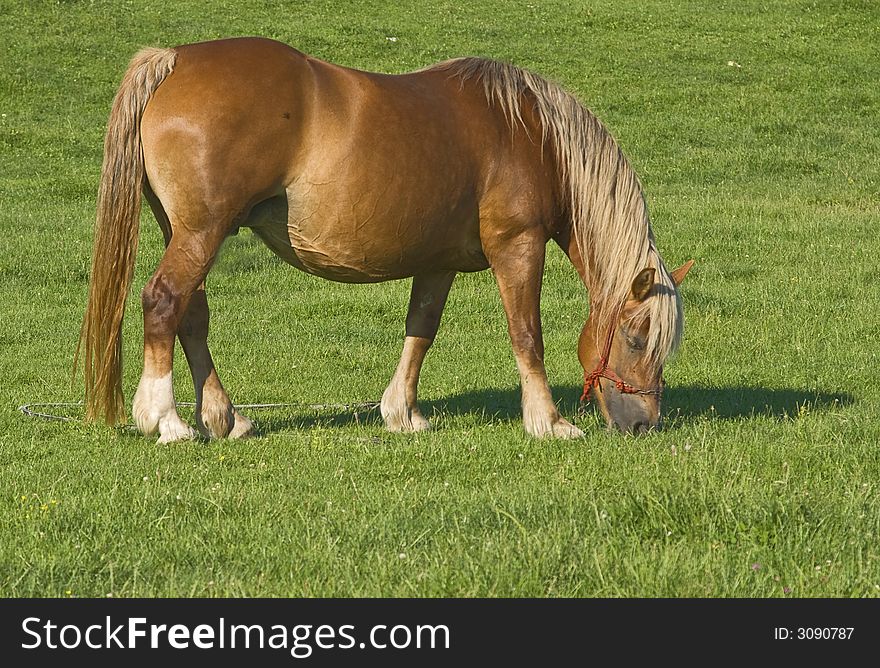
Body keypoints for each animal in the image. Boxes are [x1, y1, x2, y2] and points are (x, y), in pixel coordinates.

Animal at [77, 37, 696, 444]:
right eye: (638, 337)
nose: (644, 423)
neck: (531, 134)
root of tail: (174, 60)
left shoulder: (439, 263)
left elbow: (421, 329)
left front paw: (403, 414)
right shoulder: (518, 247)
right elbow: (527, 333)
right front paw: (548, 421)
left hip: (186, 232)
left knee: (192, 315)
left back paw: (225, 418)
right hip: (201, 234)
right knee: (163, 302)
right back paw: (166, 419)